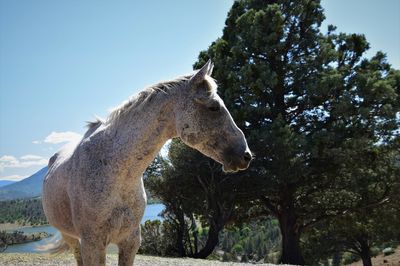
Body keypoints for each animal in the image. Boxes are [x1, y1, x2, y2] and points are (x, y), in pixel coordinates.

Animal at [42, 60, 252, 266]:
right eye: (214, 107)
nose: (246, 155)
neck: (113, 169)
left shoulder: (130, 241)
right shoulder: (92, 244)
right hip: (72, 238)